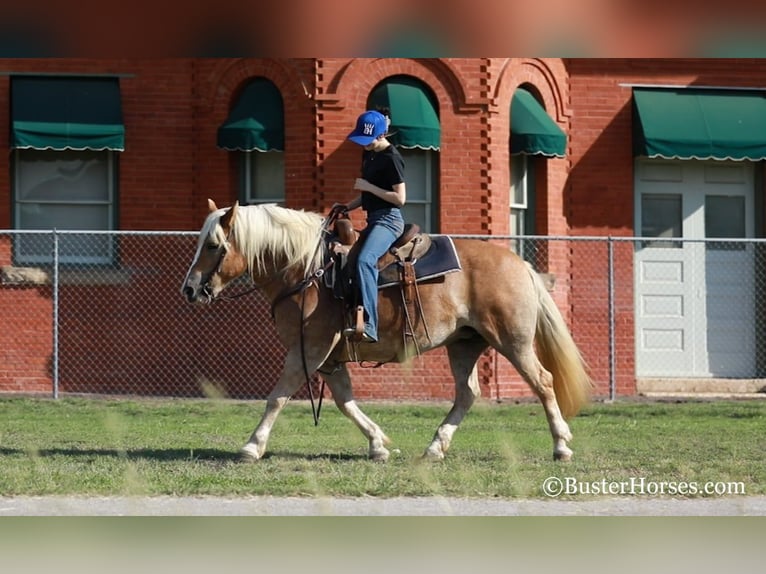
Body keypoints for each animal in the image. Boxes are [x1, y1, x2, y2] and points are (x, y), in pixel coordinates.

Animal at [183, 201, 592, 464]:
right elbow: (345, 401)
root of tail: (519, 263)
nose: (189, 289)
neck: (306, 270)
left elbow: (277, 398)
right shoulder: (328, 357)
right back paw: (435, 448)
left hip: (512, 341)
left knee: (543, 381)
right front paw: (378, 444)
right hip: (464, 344)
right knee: (467, 394)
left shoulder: (309, 349)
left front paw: (252, 446)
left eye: (214, 245)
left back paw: (561, 446)